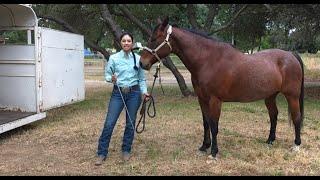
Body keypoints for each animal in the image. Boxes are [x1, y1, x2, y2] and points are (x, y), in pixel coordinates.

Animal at [139, 16, 304, 158]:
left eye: (154, 39)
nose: (142, 63)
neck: (209, 60)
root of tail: (291, 54)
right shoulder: (202, 99)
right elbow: (206, 122)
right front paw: (204, 146)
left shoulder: (215, 100)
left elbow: (214, 125)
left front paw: (213, 152)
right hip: (270, 96)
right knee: (274, 115)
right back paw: (270, 140)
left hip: (292, 96)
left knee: (296, 117)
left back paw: (296, 145)